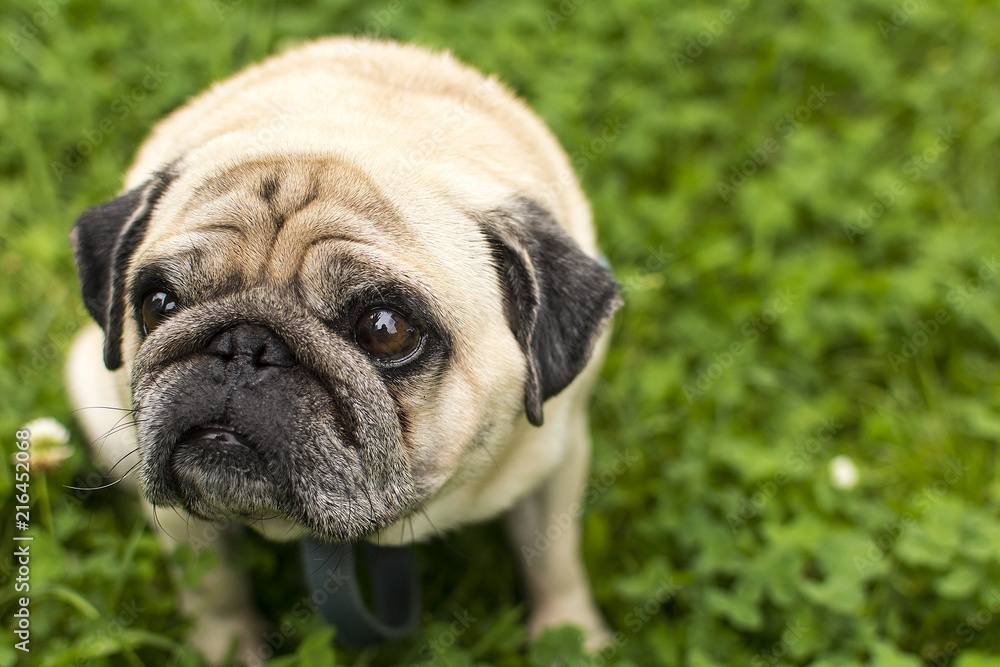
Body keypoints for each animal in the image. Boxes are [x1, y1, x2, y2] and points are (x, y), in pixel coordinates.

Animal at [64, 36, 616, 664]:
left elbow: (554, 559)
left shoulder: (556, 459)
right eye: (159, 304)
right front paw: (226, 647)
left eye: (385, 329)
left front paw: (570, 636)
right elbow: (213, 588)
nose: (245, 347)